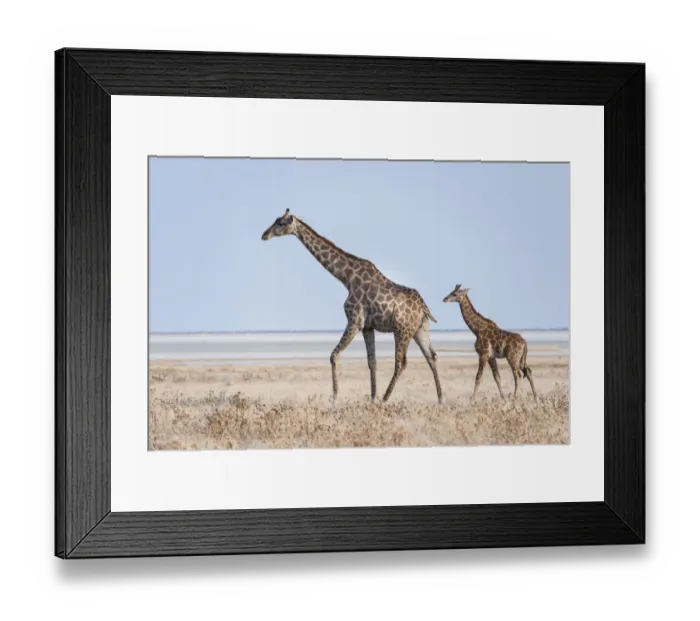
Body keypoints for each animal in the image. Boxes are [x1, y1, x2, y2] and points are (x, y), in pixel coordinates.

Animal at [262, 209, 443, 404]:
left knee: (401, 363)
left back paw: (386, 398)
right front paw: (372, 398)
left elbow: (334, 355)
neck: (346, 278)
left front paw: (334, 398)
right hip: (420, 329)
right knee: (431, 356)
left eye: (280, 223)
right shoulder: (368, 326)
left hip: (402, 330)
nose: (264, 235)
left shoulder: (355, 321)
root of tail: (424, 307)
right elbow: (372, 362)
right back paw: (440, 398)